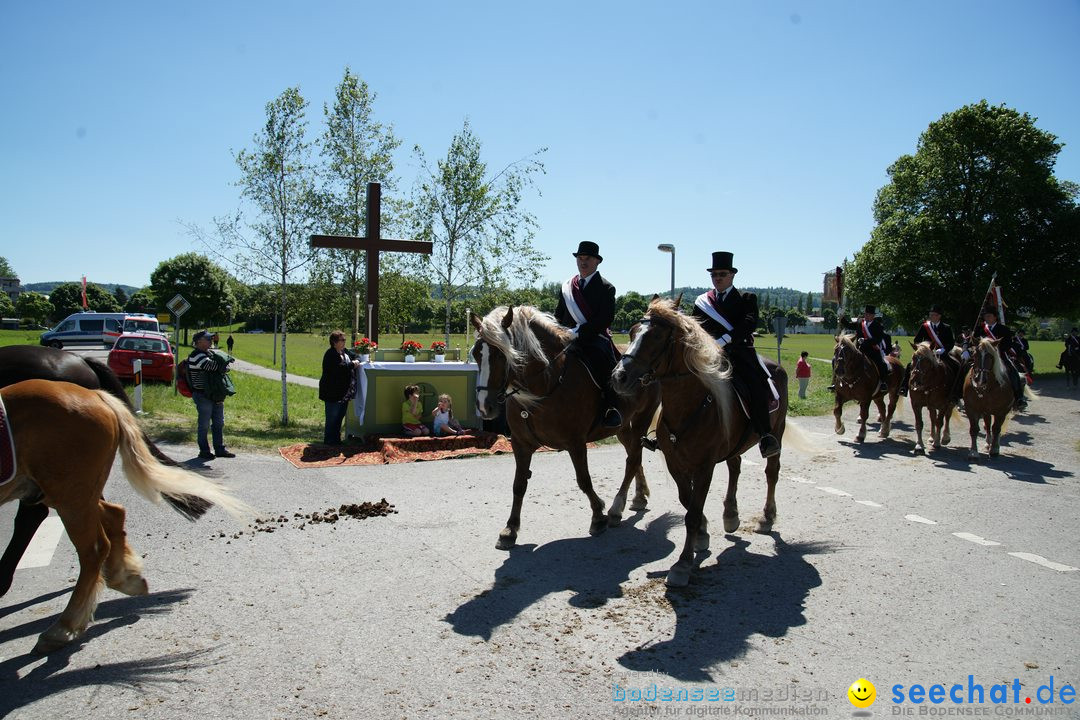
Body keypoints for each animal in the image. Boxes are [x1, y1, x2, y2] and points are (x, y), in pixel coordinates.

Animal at [1, 379, 248, 656]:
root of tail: (97, 396)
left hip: (69, 492)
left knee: (94, 546)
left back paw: (64, 626)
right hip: (68, 492)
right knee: (110, 517)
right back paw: (121, 580)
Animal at [470, 306, 656, 552]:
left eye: (502, 354)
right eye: (476, 354)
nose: (484, 406)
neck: (543, 387)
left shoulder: (575, 443)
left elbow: (584, 480)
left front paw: (598, 516)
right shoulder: (520, 444)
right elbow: (519, 485)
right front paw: (510, 529)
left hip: (643, 418)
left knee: (633, 458)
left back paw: (617, 509)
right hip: (624, 427)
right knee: (635, 456)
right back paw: (638, 497)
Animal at [617, 297, 794, 587]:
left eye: (656, 336)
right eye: (632, 332)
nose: (619, 376)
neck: (690, 406)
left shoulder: (704, 467)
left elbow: (692, 511)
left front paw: (682, 565)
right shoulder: (676, 464)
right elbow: (688, 502)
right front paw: (702, 535)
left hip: (776, 433)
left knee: (771, 472)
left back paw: (767, 518)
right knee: (735, 466)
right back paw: (731, 515)